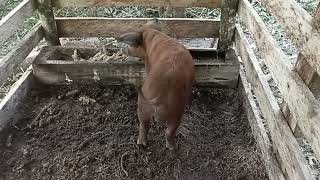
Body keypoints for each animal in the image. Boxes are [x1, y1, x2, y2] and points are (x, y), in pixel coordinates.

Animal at [117, 18, 194, 150]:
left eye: (132, 45)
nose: (123, 49)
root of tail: (159, 96)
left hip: (143, 106)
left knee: (144, 126)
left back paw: (142, 144)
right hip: (176, 112)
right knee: (168, 131)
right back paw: (172, 147)